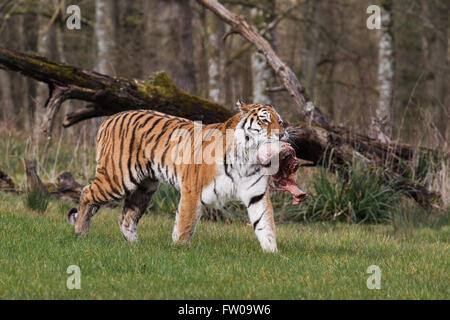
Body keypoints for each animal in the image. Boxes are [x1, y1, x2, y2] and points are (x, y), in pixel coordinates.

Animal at [68, 101, 288, 251]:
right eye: (264, 120)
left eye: (280, 121)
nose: (282, 134)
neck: (247, 158)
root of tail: (109, 118)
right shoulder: (193, 190)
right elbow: (185, 224)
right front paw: (179, 250)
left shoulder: (257, 194)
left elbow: (265, 224)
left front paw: (273, 254)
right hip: (117, 179)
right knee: (87, 192)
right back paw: (80, 232)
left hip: (144, 188)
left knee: (126, 217)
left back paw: (135, 246)